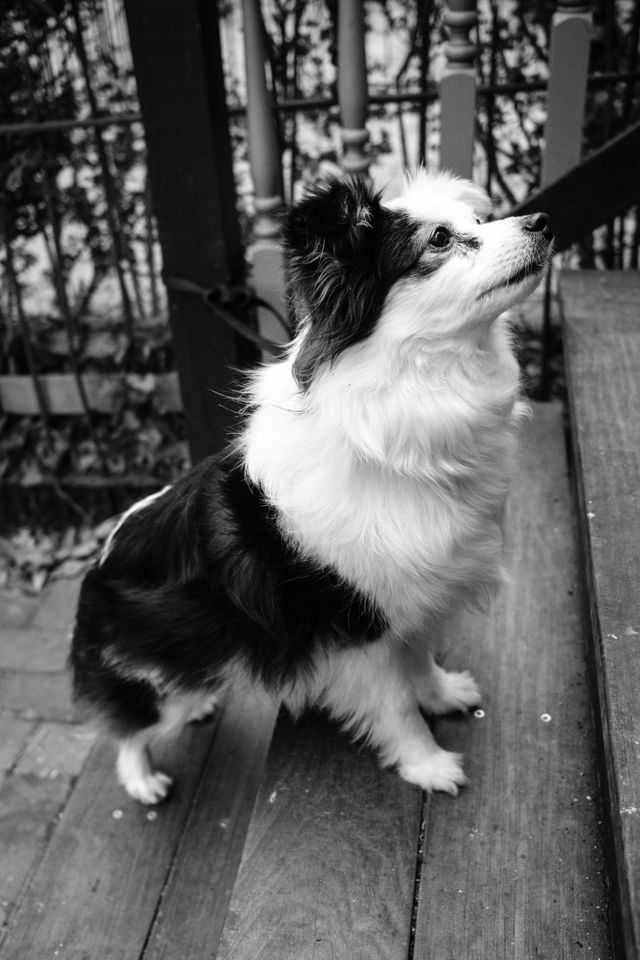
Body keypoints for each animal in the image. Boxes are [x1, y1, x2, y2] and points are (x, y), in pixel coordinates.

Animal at [67, 171, 552, 804]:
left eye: (472, 222)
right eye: (440, 240)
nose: (542, 221)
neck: (411, 399)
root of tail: (95, 566)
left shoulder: (414, 598)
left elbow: (420, 659)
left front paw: (442, 694)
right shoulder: (358, 633)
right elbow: (397, 706)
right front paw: (426, 764)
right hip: (157, 670)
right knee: (130, 729)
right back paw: (143, 778)